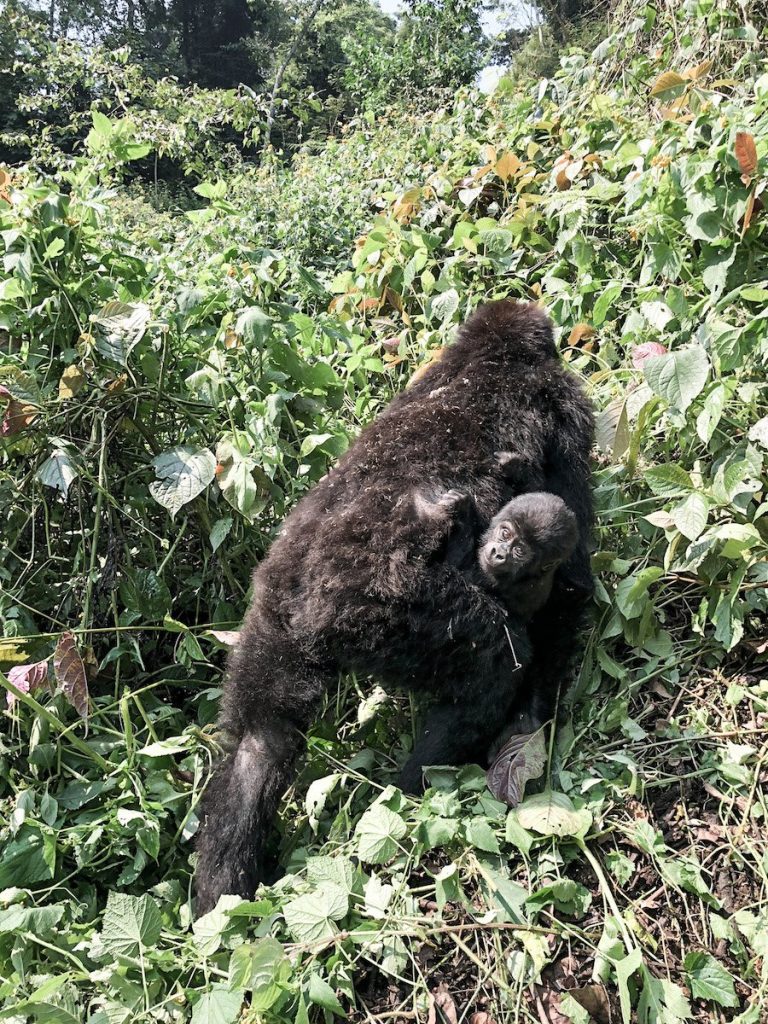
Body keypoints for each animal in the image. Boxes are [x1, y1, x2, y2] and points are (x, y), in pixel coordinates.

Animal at [194, 299, 594, 916]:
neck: (486, 356)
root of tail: (305, 608)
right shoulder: (568, 407)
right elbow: (569, 578)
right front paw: (532, 718)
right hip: (387, 614)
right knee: (493, 667)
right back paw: (410, 793)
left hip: (272, 619)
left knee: (260, 738)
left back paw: (222, 891)